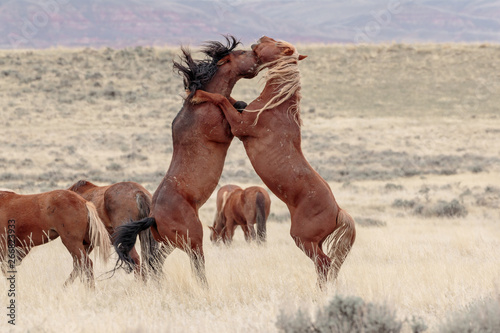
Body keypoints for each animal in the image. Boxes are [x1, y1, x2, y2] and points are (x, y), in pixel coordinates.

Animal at [114, 35, 262, 286]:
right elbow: (229, 106)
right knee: (197, 267)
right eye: (241, 53)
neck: (200, 108)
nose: (257, 53)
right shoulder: (226, 130)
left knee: (155, 263)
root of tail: (152, 217)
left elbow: (238, 103)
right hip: (193, 240)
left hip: (171, 244)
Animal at [190, 36, 356, 288]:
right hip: (314, 242)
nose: (260, 40)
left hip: (303, 240)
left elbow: (221, 99)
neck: (275, 106)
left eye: (278, 45)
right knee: (326, 266)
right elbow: (230, 99)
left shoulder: (239, 126)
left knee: (324, 263)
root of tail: (337, 211)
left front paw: (197, 94)